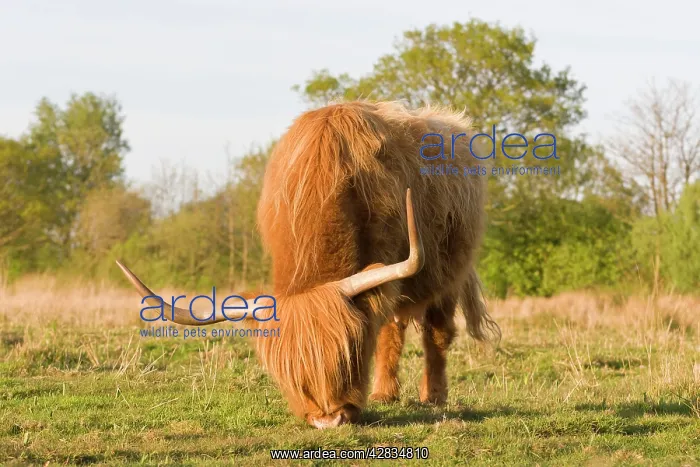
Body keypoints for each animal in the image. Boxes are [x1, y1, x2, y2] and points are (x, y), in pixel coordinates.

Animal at [116, 100, 500, 429]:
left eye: (350, 353)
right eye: (289, 372)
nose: (328, 419)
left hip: (450, 271)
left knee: (436, 333)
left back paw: (432, 396)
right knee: (397, 327)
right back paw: (386, 393)